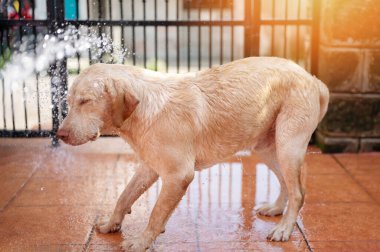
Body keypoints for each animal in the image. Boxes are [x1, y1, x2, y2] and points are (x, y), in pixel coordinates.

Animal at [57, 56, 330, 251]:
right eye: (69, 101)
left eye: (85, 101)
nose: (60, 134)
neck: (145, 109)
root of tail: (313, 78)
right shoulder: (149, 167)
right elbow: (124, 196)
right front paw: (112, 224)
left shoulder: (179, 175)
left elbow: (156, 212)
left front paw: (143, 241)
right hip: (267, 148)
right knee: (286, 183)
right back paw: (276, 208)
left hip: (287, 146)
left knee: (299, 192)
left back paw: (284, 229)